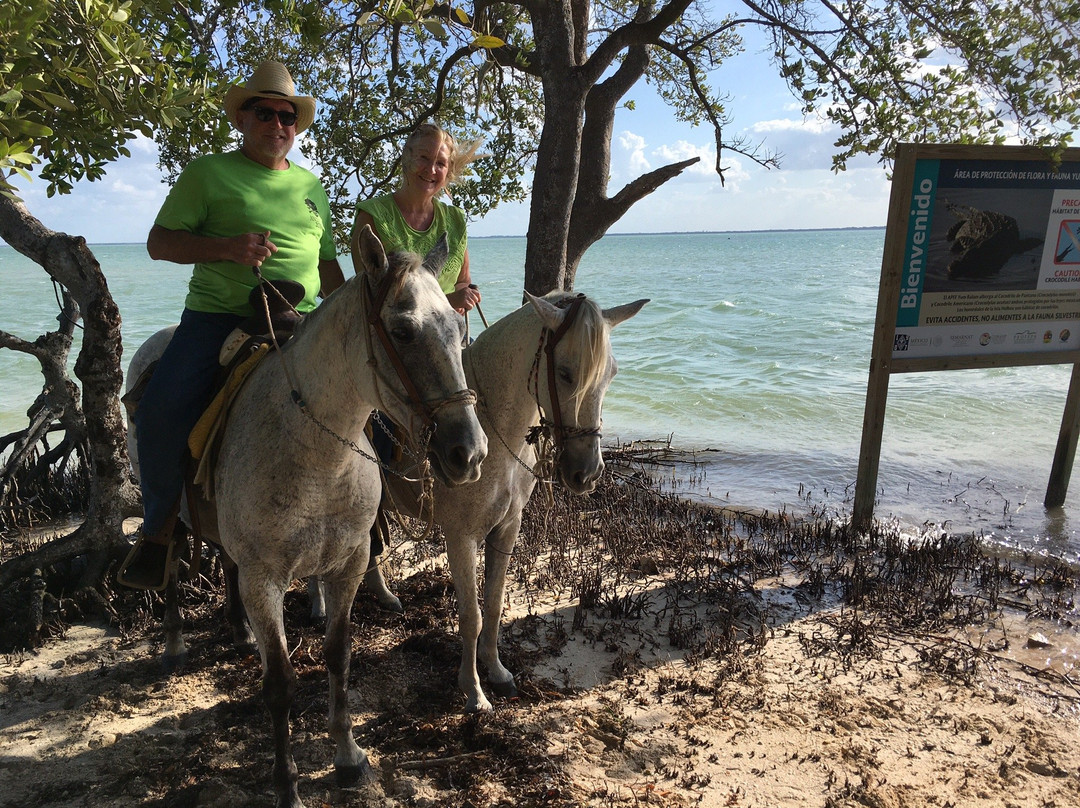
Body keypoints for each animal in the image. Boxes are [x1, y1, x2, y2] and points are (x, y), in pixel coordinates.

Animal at [123, 225, 490, 808]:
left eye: (458, 327)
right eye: (402, 330)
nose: (468, 453)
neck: (317, 451)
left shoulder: (347, 564)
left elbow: (338, 656)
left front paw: (347, 756)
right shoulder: (265, 579)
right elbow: (281, 684)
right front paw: (286, 784)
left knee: (223, 563)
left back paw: (238, 630)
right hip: (166, 508)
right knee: (173, 563)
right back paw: (176, 642)